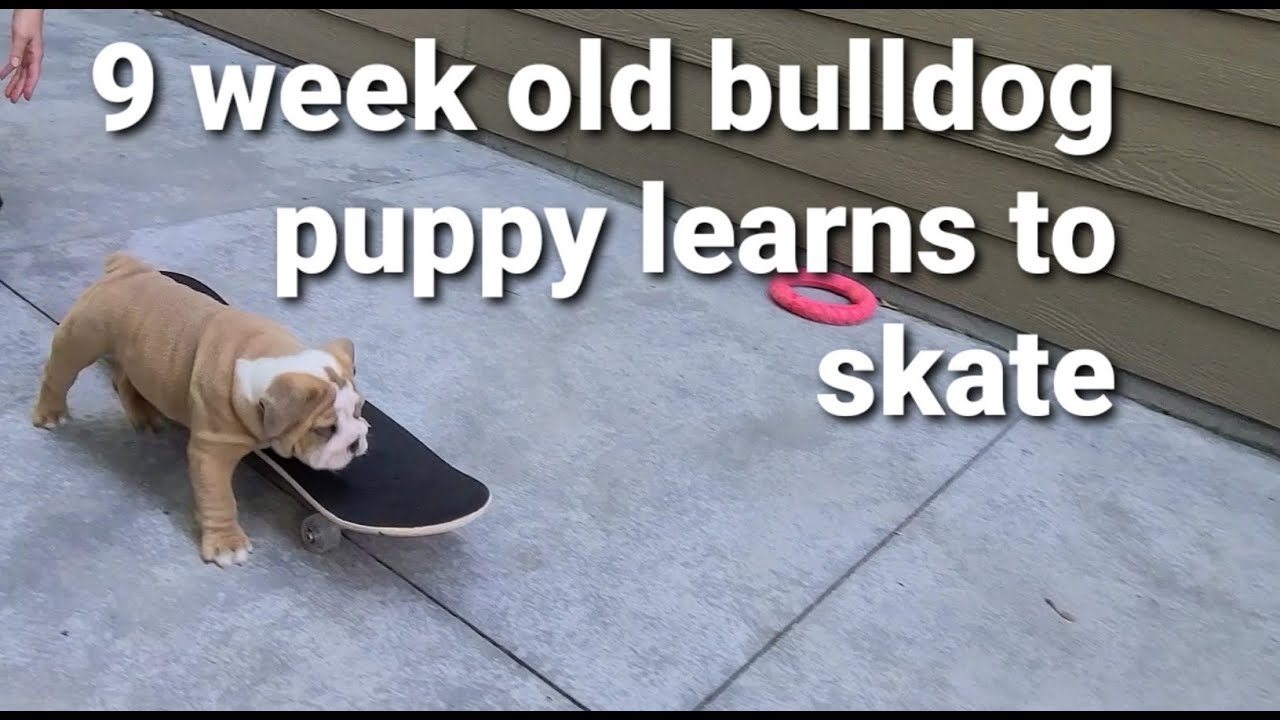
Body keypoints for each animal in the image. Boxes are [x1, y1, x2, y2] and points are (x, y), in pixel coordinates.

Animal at [31, 251, 371, 566]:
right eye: (325, 429)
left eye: (358, 410)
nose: (356, 441)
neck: (266, 359)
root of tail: (128, 267)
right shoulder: (212, 452)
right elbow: (219, 498)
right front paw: (227, 544)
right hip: (81, 338)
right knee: (58, 373)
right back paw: (51, 414)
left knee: (125, 380)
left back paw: (145, 416)